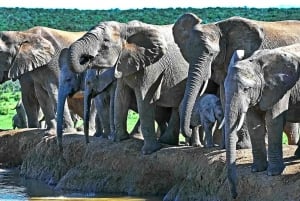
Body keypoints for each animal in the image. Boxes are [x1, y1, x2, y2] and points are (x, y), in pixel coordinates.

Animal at [69, 20, 189, 154]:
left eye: (106, 41)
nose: (87, 143)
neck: (125, 28)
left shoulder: (152, 67)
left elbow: (144, 100)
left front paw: (150, 151)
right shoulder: (124, 65)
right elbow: (120, 98)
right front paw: (119, 139)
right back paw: (167, 141)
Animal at [172, 12, 300, 149]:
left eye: (212, 54)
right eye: (187, 55)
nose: (188, 130)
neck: (219, 27)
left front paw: (242, 146)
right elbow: (225, 97)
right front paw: (225, 146)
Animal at [224, 44, 300, 198]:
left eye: (246, 89)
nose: (235, 195)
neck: (256, 64)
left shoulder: (280, 88)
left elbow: (273, 121)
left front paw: (273, 173)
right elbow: (254, 124)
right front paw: (257, 170)